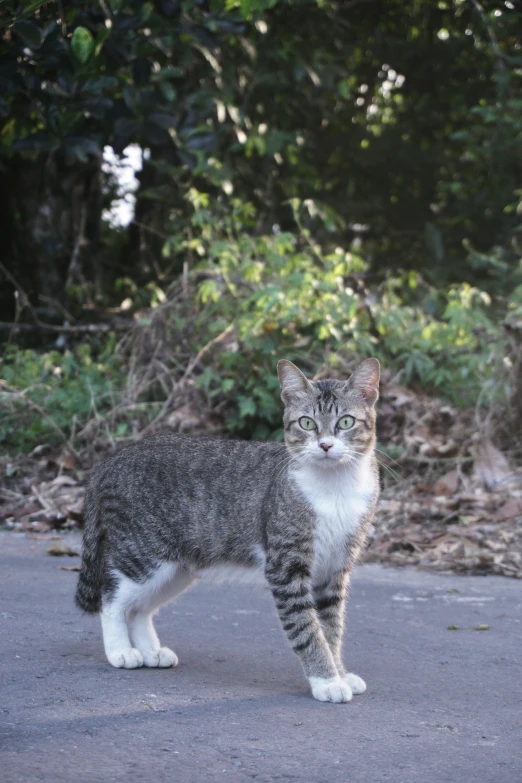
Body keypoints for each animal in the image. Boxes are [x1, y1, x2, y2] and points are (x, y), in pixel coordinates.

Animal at [74, 358, 378, 708]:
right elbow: (307, 628)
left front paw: (339, 672)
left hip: (177, 568)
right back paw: (120, 651)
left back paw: (151, 651)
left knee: (139, 607)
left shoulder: (335, 569)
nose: (325, 444)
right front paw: (326, 680)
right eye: (306, 423)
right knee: (112, 597)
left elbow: (331, 628)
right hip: (144, 555)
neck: (335, 489)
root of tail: (109, 462)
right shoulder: (286, 567)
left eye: (346, 421)